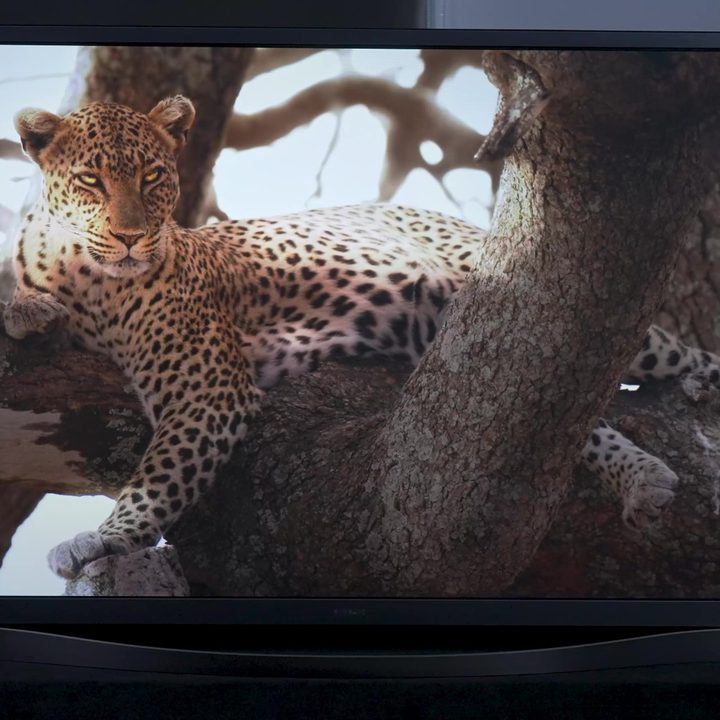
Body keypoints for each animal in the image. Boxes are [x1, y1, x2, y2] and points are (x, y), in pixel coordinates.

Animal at [2, 95, 715, 581]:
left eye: (153, 176)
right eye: (91, 181)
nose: (130, 237)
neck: (86, 274)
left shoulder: (210, 388)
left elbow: (159, 476)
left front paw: (107, 538)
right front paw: (28, 312)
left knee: (663, 358)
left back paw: (698, 388)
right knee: (558, 417)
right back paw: (643, 478)